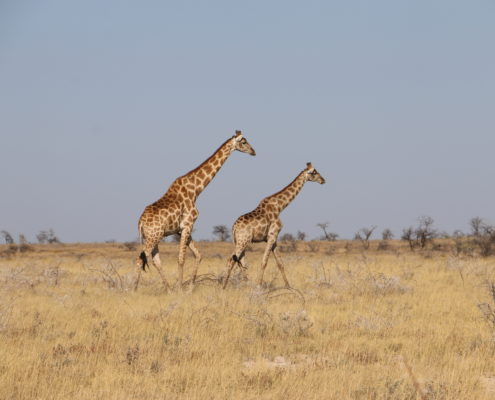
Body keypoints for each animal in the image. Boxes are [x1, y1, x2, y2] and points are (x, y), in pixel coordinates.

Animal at [137, 131, 258, 290]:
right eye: (243, 142)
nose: (254, 152)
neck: (196, 190)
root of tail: (140, 222)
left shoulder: (181, 230)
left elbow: (198, 255)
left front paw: (190, 288)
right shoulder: (187, 225)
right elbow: (181, 259)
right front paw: (181, 289)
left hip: (154, 237)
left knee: (155, 261)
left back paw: (168, 289)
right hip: (153, 236)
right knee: (141, 258)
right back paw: (133, 289)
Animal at [224, 161, 326, 290]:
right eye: (314, 172)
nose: (323, 180)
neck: (280, 207)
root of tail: (234, 227)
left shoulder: (274, 238)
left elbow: (280, 263)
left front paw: (288, 287)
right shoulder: (272, 235)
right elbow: (264, 262)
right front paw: (258, 286)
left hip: (238, 241)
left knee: (241, 262)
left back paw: (245, 284)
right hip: (243, 240)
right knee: (231, 260)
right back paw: (223, 287)